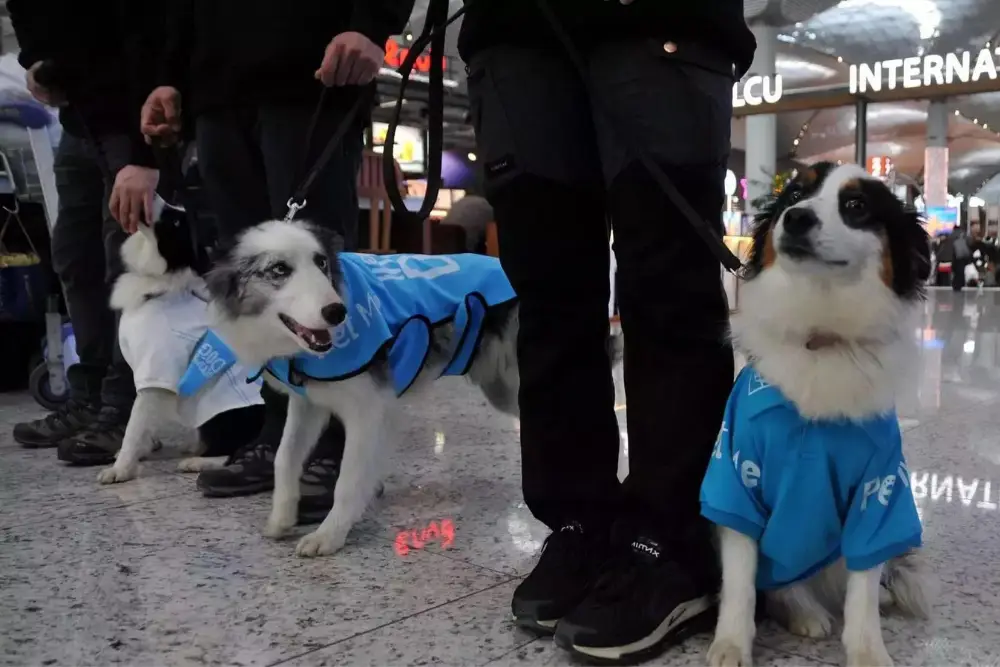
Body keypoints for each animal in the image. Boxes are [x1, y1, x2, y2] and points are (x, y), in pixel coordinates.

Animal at [94, 198, 264, 486]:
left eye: (175, 223)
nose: (151, 196)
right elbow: (144, 423)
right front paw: (143, 451)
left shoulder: (155, 372)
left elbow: (134, 425)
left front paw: (121, 469)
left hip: (222, 414)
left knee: (232, 450)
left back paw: (198, 462)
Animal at [704, 163, 928, 667]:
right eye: (794, 194)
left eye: (857, 206)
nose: (797, 218)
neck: (820, 332)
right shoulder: (736, 474)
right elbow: (741, 580)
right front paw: (730, 644)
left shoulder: (878, 487)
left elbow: (863, 589)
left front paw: (868, 651)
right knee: (781, 583)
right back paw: (804, 611)